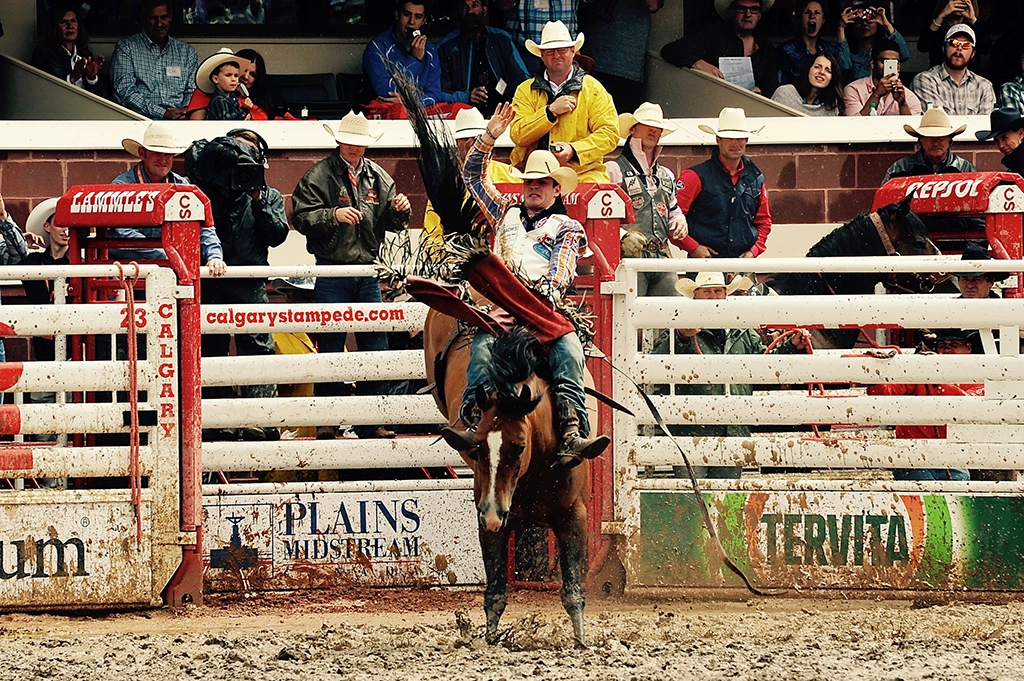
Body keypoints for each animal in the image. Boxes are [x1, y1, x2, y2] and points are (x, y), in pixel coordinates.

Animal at [424, 309, 606, 648]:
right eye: (477, 446)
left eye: (520, 446)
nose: (494, 513)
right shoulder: (487, 518)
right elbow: (495, 592)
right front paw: (490, 638)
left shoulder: (575, 515)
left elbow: (573, 590)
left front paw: (580, 640)